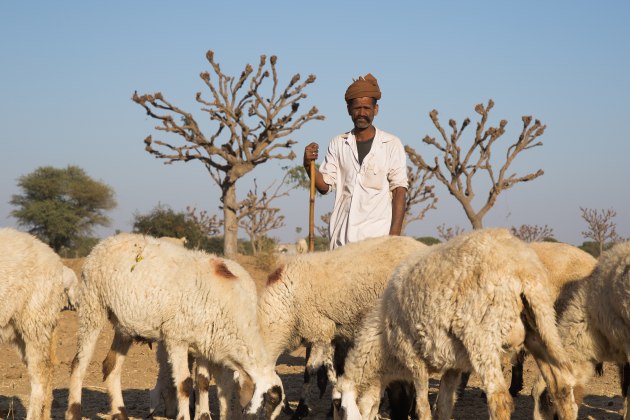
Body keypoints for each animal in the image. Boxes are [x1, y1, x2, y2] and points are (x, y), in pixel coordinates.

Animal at [65, 233, 282, 420]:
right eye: (270, 400)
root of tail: (105, 242)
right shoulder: (177, 338)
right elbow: (185, 385)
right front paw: (185, 416)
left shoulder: (205, 343)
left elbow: (204, 382)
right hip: (93, 306)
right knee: (79, 363)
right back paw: (74, 412)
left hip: (124, 325)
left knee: (111, 367)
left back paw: (120, 414)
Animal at [334, 228, 580, 420]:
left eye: (338, 406)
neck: (383, 346)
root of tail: (522, 271)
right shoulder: (453, 365)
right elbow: (442, 407)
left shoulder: (413, 359)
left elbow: (423, 408)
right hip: (541, 326)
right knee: (561, 386)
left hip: (482, 337)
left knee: (499, 399)